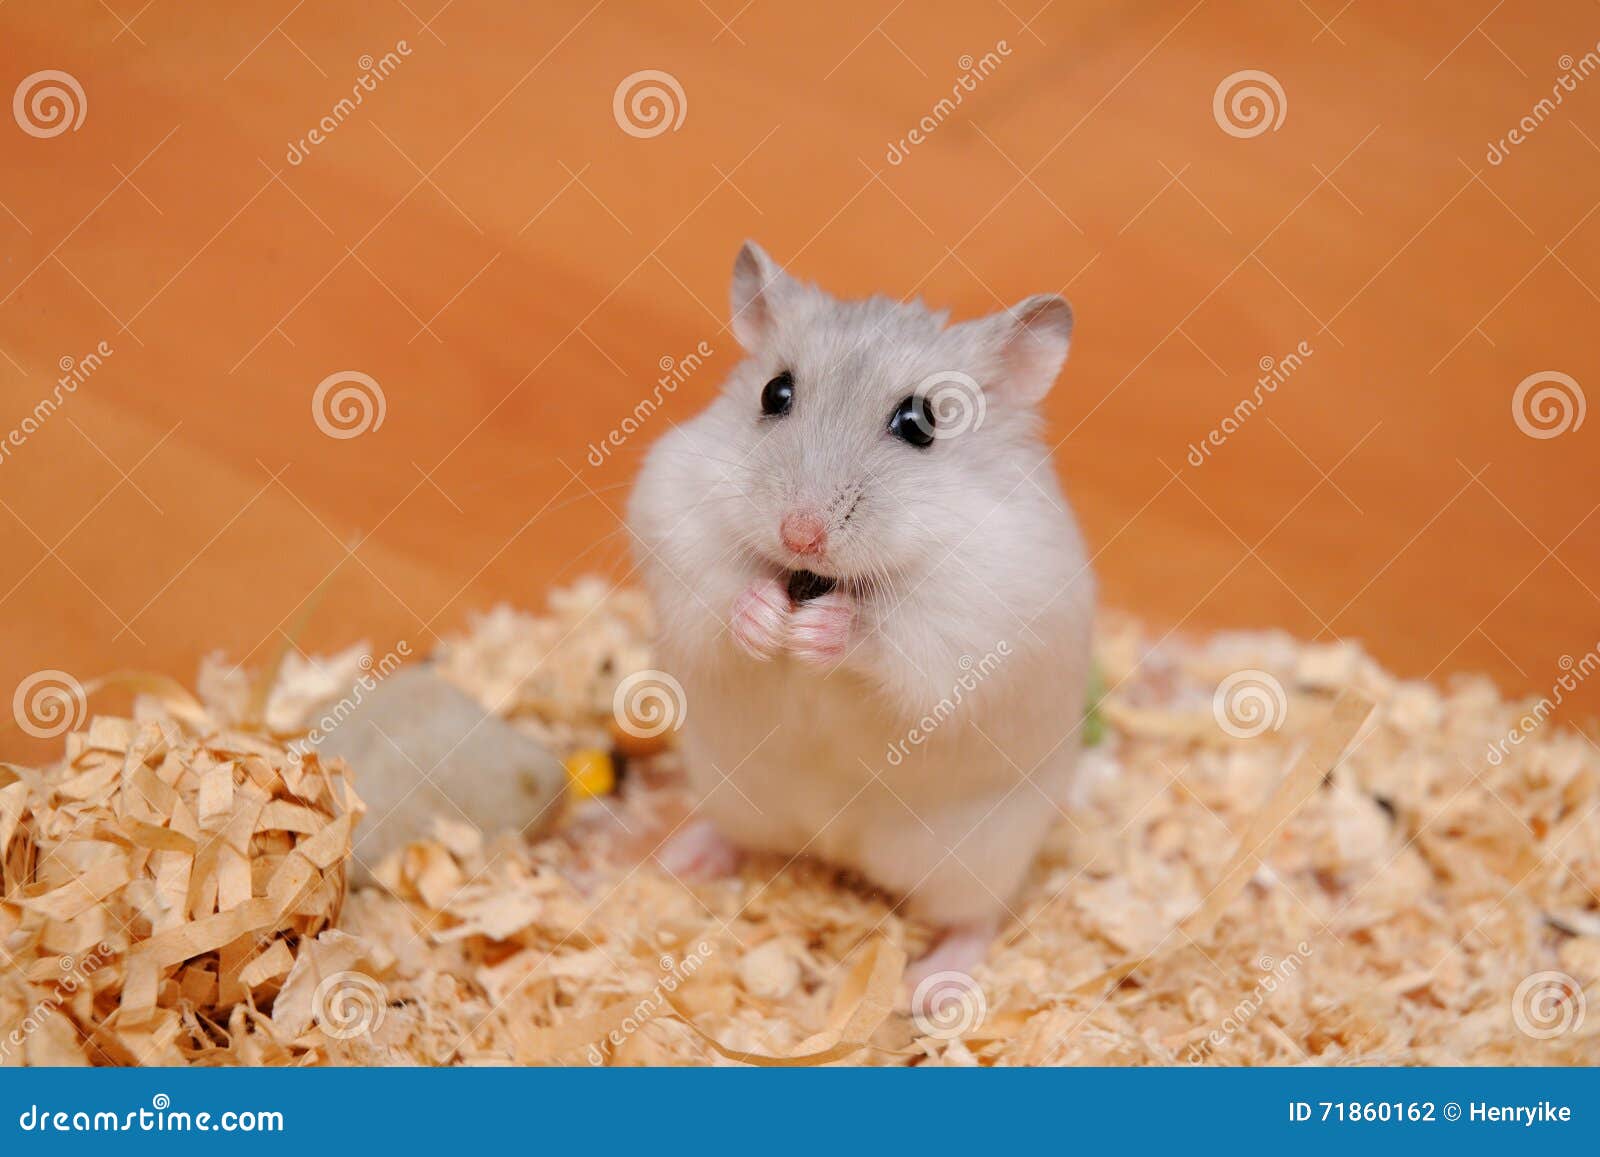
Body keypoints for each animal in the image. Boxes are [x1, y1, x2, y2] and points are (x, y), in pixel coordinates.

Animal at [627, 241, 1095, 984]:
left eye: (921, 422)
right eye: (774, 393)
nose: (799, 535)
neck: (818, 579)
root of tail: (831, 841)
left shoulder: (978, 614)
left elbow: (888, 643)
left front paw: (819, 632)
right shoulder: (674, 520)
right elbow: (719, 591)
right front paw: (765, 618)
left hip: (980, 855)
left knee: (976, 917)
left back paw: (932, 984)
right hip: (733, 793)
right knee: (734, 835)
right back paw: (679, 859)